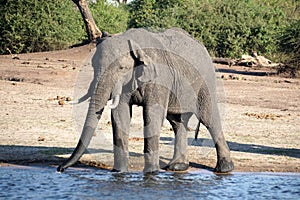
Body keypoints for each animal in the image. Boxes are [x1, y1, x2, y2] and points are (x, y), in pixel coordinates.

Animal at [56, 27, 234, 173]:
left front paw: (151, 173)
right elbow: (120, 115)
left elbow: (151, 115)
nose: (60, 169)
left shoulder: (160, 76)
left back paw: (224, 168)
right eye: (93, 66)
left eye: (121, 68)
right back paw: (177, 167)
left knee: (209, 118)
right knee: (177, 121)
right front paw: (119, 172)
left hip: (205, 80)